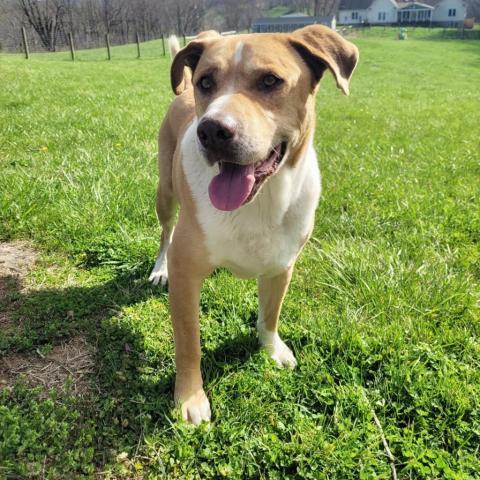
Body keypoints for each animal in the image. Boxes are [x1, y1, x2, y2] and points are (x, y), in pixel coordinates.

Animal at [148, 26, 358, 424]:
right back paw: (158, 267)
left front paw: (272, 348)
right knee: (166, 230)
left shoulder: (282, 264)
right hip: (165, 191)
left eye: (270, 80)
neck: (260, 201)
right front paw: (189, 398)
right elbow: (188, 340)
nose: (211, 130)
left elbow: (270, 314)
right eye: (206, 82)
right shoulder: (186, 272)